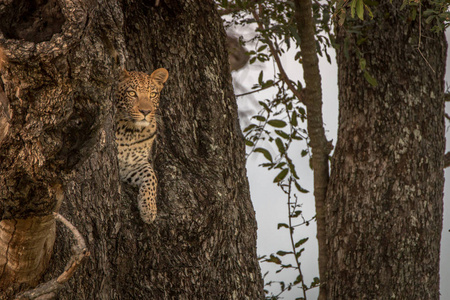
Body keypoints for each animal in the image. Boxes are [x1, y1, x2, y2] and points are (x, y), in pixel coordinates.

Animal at [114, 67, 169, 223]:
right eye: (132, 93)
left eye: (153, 94)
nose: (146, 111)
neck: (129, 132)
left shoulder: (133, 165)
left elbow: (152, 176)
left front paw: (149, 209)